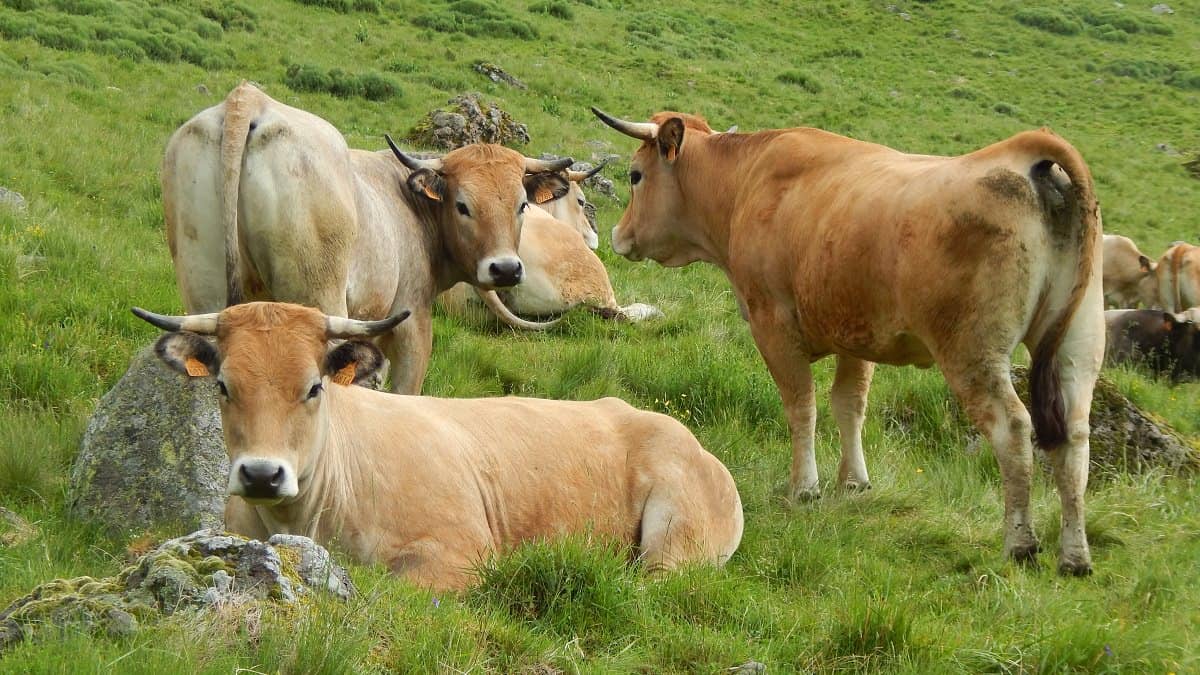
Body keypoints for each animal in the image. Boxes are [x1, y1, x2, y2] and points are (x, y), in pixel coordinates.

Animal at [161, 81, 573, 394]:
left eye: (521, 204)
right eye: (462, 205)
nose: (505, 269)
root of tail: (248, 99)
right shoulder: (411, 323)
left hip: (204, 295)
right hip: (319, 301)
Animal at [592, 108, 1105, 575]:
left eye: (635, 175)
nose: (618, 235)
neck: (745, 182)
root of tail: (1022, 157)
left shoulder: (773, 324)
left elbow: (802, 405)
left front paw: (805, 487)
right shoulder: (855, 336)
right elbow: (849, 405)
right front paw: (854, 482)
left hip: (972, 351)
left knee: (1013, 428)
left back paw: (1020, 543)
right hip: (1078, 350)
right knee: (1075, 438)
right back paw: (1075, 556)